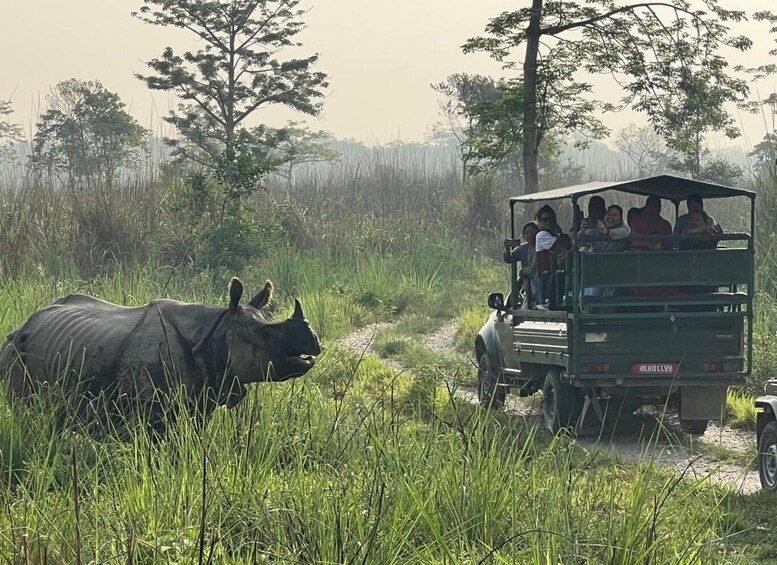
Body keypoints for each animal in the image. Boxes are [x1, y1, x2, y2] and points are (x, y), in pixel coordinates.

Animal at [0, 277, 321, 434]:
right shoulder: (150, 407)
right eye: (264, 334)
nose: (314, 342)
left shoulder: (204, 395)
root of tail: (21, 325)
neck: (216, 329)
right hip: (15, 351)